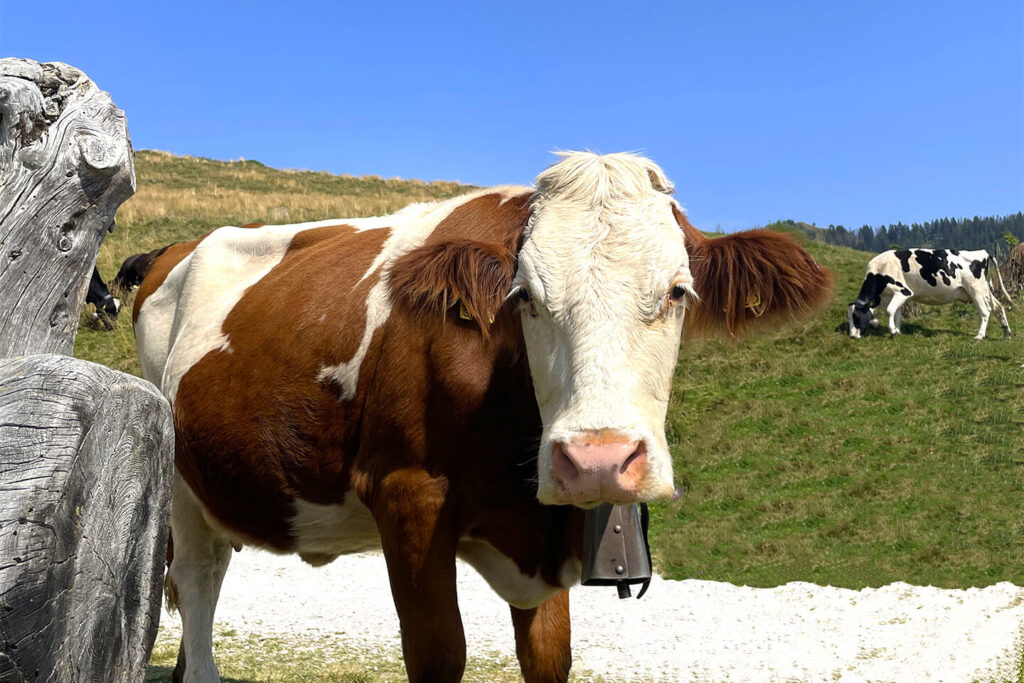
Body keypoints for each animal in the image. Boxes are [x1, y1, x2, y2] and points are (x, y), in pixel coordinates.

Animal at [134, 150, 831, 683]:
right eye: (526, 298)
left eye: (677, 292)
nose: (597, 461)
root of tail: (178, 248)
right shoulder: (408, 495)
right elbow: (440, 655)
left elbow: (548, 656)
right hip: (179, 485)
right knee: (195, 583)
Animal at [847, 248, 1007, 339]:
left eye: (856, 317)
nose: (852, 336)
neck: (879, 271)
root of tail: (983, 252)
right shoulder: (891, 296)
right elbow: (897, 313)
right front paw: (897, 330)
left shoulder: (903, 292)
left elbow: (890, 310)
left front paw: (892, 331)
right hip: (984, 290)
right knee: (999, 307)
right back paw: (1007, 333)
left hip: (976, 290)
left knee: (986, 311)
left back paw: (980, 336)